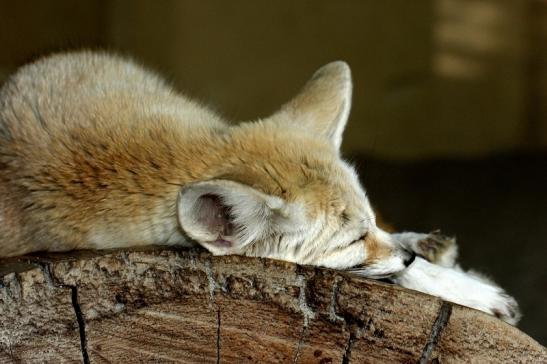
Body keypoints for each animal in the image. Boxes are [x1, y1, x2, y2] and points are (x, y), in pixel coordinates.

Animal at [0, 50, 520, 324]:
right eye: (353, 240)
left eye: (370, 219)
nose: (409, 255)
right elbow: (382, 272)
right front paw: (476, 293)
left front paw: (430, 256)